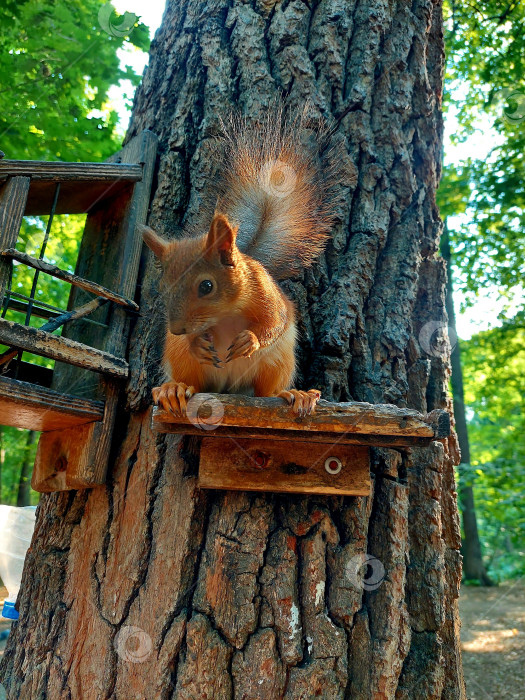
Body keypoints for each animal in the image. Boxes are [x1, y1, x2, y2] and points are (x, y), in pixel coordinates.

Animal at [141, 108, 340, 416]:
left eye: (206, 286)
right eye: (163, 287)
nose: (178, 330)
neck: (225, 314)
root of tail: (227, 389)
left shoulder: (265, 292)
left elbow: (275, 322)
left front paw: (251, 339)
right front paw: (195, 342)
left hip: (278, 363)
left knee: (268, 391)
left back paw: (296, 394)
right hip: (180, 358)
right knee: (191, 383)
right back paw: (172, 390)